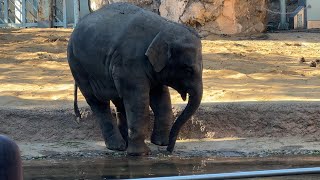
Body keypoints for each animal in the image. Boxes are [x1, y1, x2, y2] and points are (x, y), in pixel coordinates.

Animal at [67, 2, 202, 155]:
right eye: (188, 70)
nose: (169, 150)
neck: (164, 26)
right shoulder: (130, 63)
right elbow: (138, 101)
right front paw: (140, 153)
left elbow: (160, 98)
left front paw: (160, 143)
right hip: (78, 67)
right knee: (98, 103)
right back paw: (117, 146)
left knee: (119, 101)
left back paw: (125, 143)